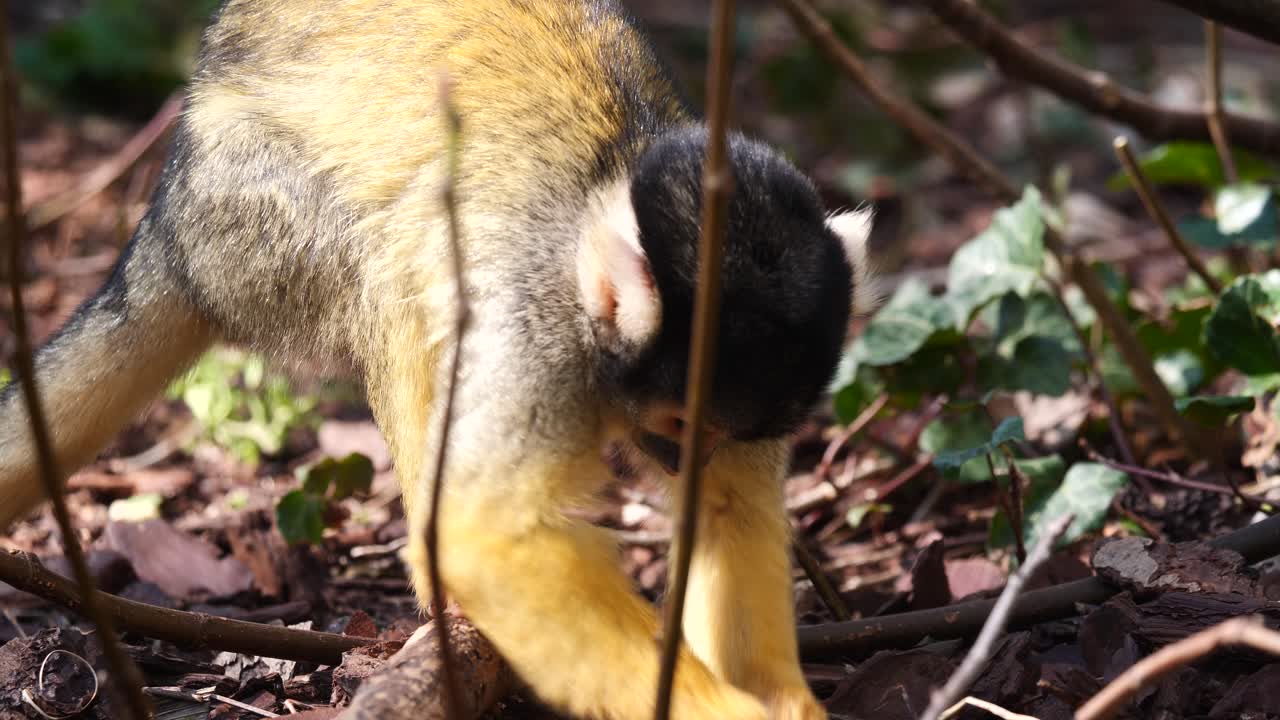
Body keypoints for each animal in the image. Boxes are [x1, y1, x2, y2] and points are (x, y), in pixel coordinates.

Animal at [0, 2, 875, 719]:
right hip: (245, 214)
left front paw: (779, 696)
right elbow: (486, 532)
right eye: (680, 421)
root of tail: (171, 215)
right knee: (391, 267)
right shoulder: (537, 322)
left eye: (719, 435)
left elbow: (734, 510)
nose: (684, 457)